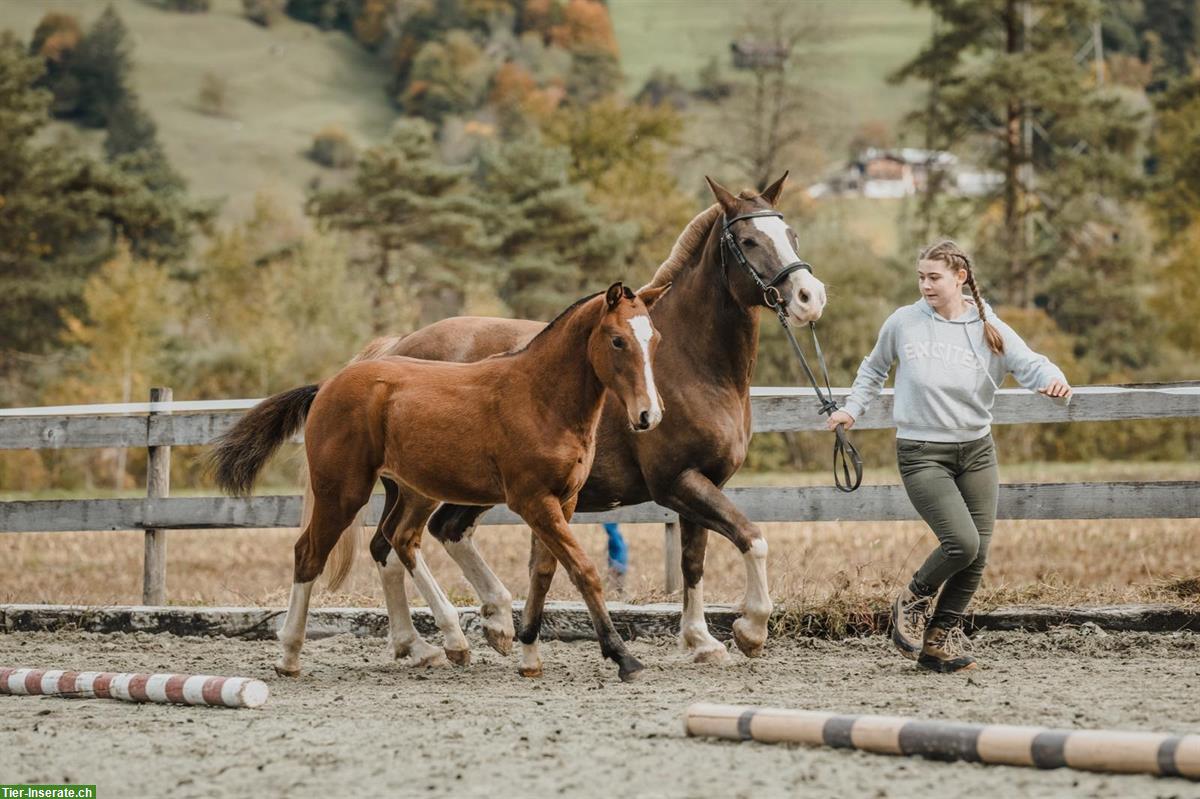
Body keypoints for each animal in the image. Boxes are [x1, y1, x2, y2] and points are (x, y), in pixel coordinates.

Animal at [211, 279, 672, 676]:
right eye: (618, 340)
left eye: (655, 339)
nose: (648, 415)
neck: (540, 399)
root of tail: (328, 385)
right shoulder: (533, 500)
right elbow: (583, 570)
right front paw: (623, 657)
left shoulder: (564, 500)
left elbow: (543, 574)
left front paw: (528, 654)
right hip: (342, 492)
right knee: (310, 554)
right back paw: (290, 655)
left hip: (409, 489)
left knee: (394, 541)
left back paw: (430, 645)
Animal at [338, 172, 825, 667]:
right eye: (748, 240)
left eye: (791, 234)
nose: (809, 297)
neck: (692, 363)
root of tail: (396, 348)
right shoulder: (679, 482)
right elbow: (752, 537)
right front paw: (751, 629)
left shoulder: (704, 482)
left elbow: (694, 561)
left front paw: (701, 640)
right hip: (427, 486)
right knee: (403, 540)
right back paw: (449, 636)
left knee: (421, 538)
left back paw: (453, 633)